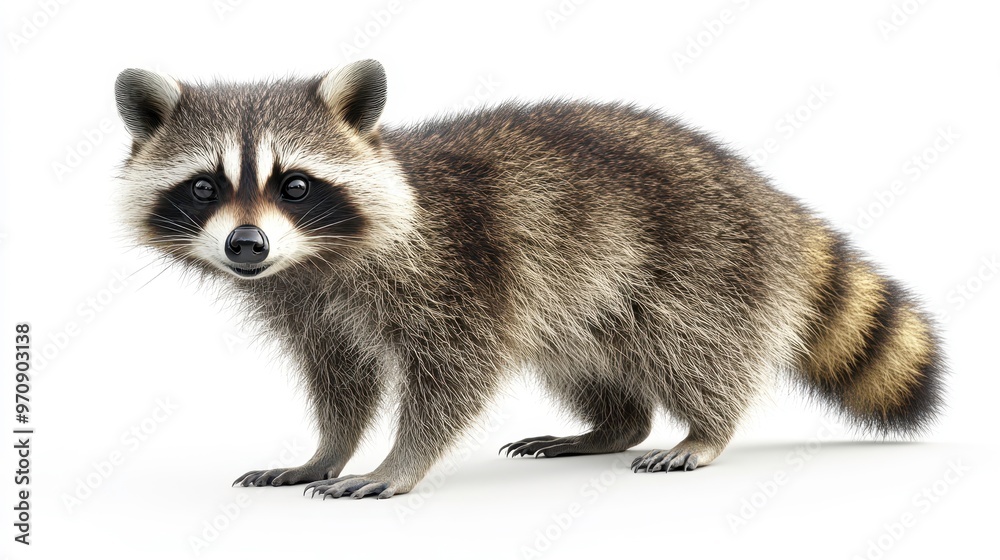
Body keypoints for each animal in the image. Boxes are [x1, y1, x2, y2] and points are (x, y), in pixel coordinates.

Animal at [114, 59, 944, 500]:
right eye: (203, 187)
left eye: (293, 185)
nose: (246, 245)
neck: (314, 260)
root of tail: (762, 190)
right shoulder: (311, 308)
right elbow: (342, 381)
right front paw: (328, 448)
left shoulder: (456, 269)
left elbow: (455, 374)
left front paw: (399, 460)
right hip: (592, 299)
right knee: (586, 358)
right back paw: (612, 424)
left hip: (703, 260)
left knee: (692, 347)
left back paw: (706, 429)